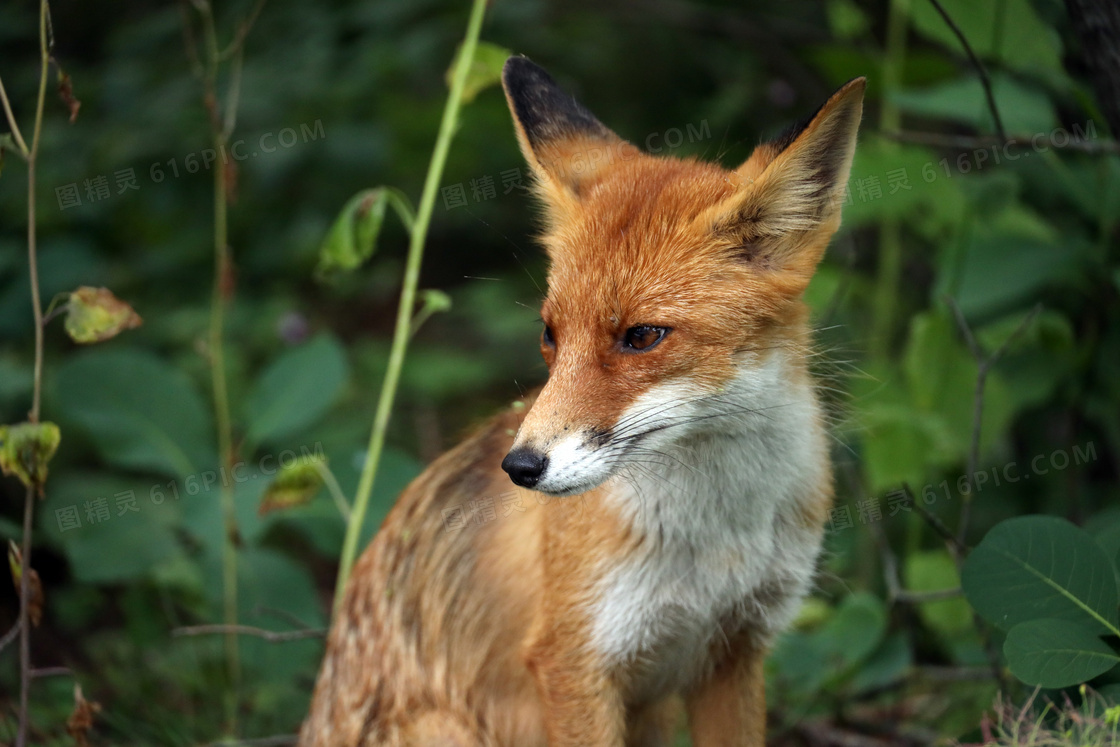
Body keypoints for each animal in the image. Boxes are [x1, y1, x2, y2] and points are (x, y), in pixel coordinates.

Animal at [302, 54, 869, 747]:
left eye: (643, 336)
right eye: (550, 333)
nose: (520, 468)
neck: (715, 543)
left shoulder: (736, 649)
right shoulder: (573, 663)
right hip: (445, 728)